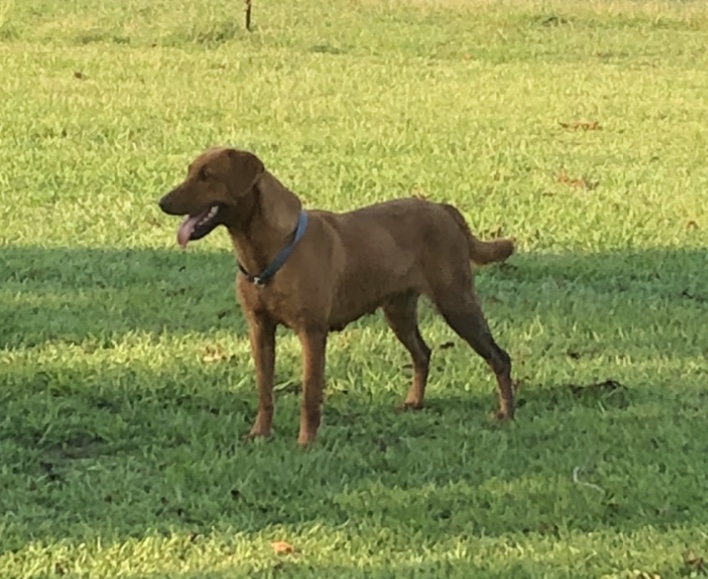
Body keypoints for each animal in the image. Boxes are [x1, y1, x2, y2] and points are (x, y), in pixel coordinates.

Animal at [159, 147, 516, 446]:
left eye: (207, 176)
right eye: (190, 171)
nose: (162, 202)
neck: (267, 249)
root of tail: (443, 208)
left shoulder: (312, 333)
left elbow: (310, 394)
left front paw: (306, 443)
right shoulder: (259, 329)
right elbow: (264, 389)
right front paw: (259, 433)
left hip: (456, 303)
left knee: (500, 357)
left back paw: (506, 414)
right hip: (398, 311)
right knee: (423, 353)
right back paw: (414, 402)